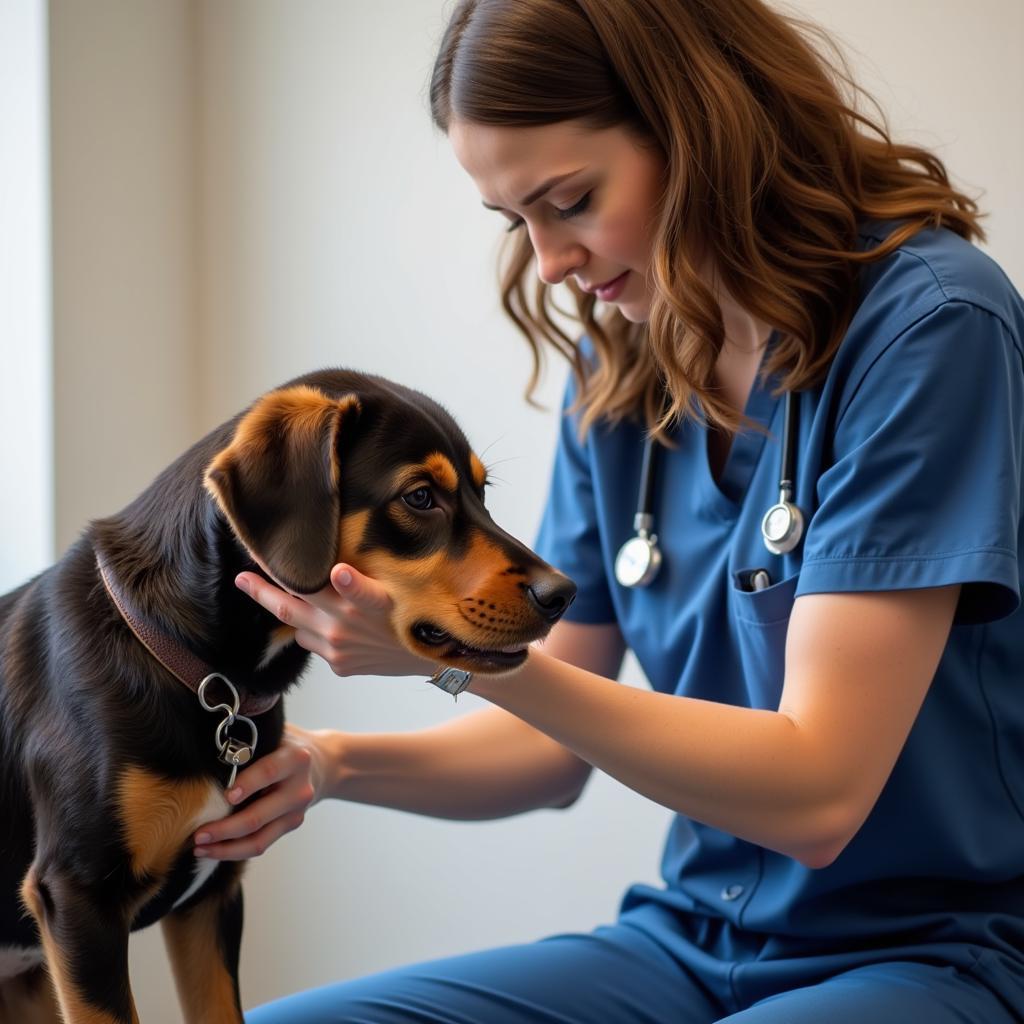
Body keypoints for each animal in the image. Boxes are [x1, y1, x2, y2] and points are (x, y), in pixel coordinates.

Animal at [0, 370, 577, 1024]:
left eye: (483, 492)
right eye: (420, 497)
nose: (564, 593)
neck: (207, 678)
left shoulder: (213, 897)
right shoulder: (79, 895)